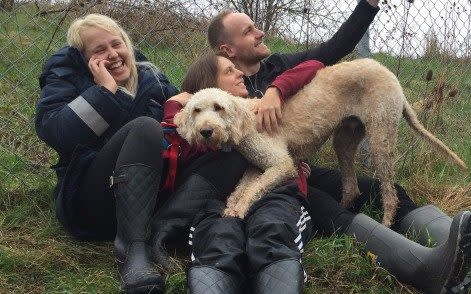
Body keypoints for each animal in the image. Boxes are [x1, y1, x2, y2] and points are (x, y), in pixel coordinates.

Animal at [174, 58, 468, 226]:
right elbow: (242, 188)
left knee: (390, 193)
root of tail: (391, 77)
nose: (206, 131)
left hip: (380, 138)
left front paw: (240, 209)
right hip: (345, 139)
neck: (247, 118)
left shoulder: (282, 165)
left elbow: (250, 191)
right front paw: (232, 206)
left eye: (218, 108)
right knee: (351, 187)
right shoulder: (257, 167)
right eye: (196, 111)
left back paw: (385, 223)